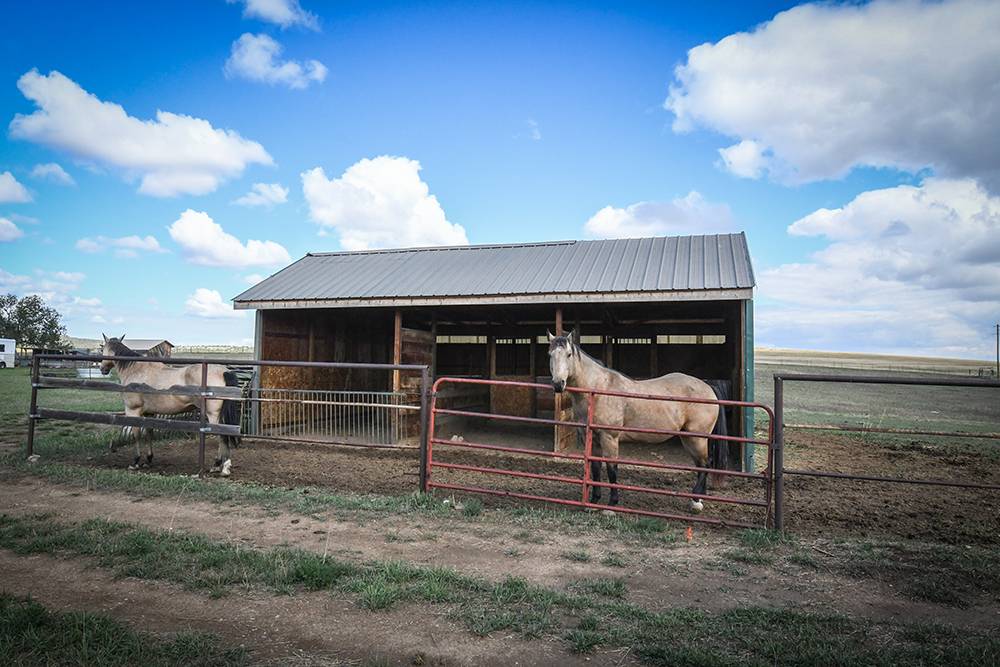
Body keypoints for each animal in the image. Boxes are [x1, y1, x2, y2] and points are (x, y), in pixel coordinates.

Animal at [99, 334, 242, 475]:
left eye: (102, 349)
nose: (102, 369)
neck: (135, 369)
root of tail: (223, 371)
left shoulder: (132, 411)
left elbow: (136, 435)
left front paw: (135, 462)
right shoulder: (149, 413)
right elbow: (149, 433)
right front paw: (148, 459)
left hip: (213, 415)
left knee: (222, 436)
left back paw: (221, 466)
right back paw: (220, 465)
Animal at [547, 330, 721, 513]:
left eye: (568, 354)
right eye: (550, 355)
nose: (558, 384)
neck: (599, 390)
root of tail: (708, 387)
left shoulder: (609, 438)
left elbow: (612, 469)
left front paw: (611, 505)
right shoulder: (593, 439)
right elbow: (595, 468)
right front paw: (594, 502)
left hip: (697, 438)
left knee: (705, 464)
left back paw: (695, 501)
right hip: (688, 438)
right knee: (700, 465)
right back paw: (698, 500)